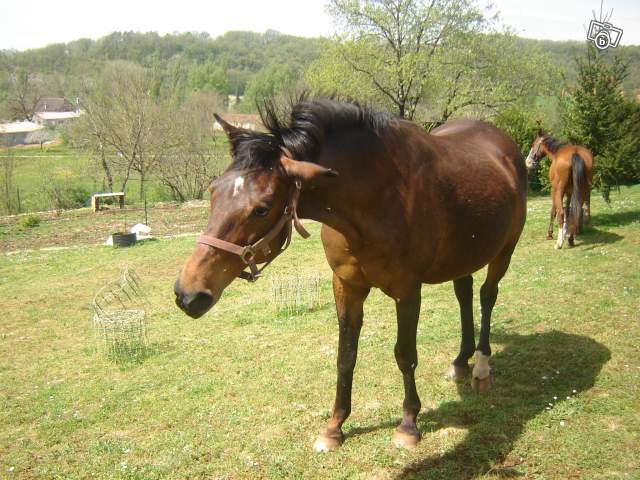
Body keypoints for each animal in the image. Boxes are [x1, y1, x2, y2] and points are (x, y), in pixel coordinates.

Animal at [174, 99, 527, 452]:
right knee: (464, 293)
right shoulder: (347, 286)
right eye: (213, 191)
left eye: (262, 208)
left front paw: (408, 424)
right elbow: (345, 356)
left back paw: (481, 366)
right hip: (463, 256)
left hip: (504, 251)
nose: (188, 294)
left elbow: (405, 355)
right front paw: (334, 427)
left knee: (487, 296)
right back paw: (460, 361)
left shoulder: (407, 291)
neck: (380, 195)